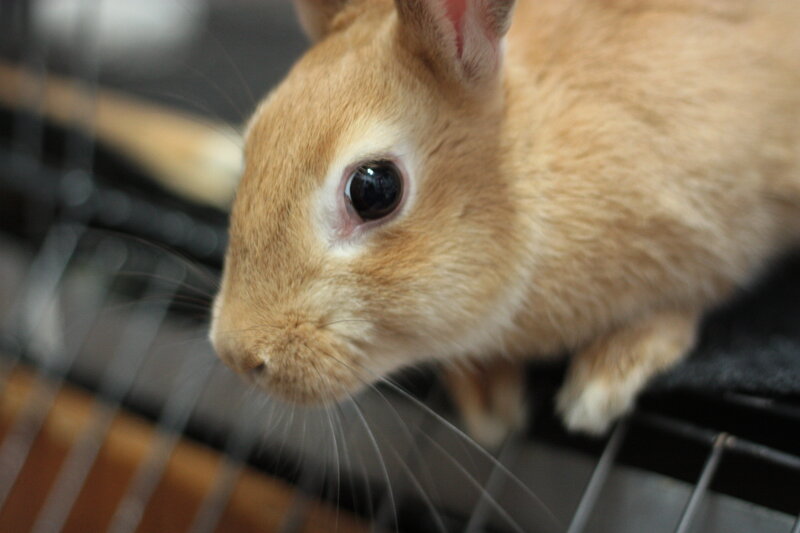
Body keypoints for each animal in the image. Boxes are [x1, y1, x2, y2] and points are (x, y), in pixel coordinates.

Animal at [210, 0, 800, 447]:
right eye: (251, 145)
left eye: (373, 189)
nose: (237, 355)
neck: (527, 168)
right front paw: (490, 400)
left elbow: (680, 306)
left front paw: (599, 388)